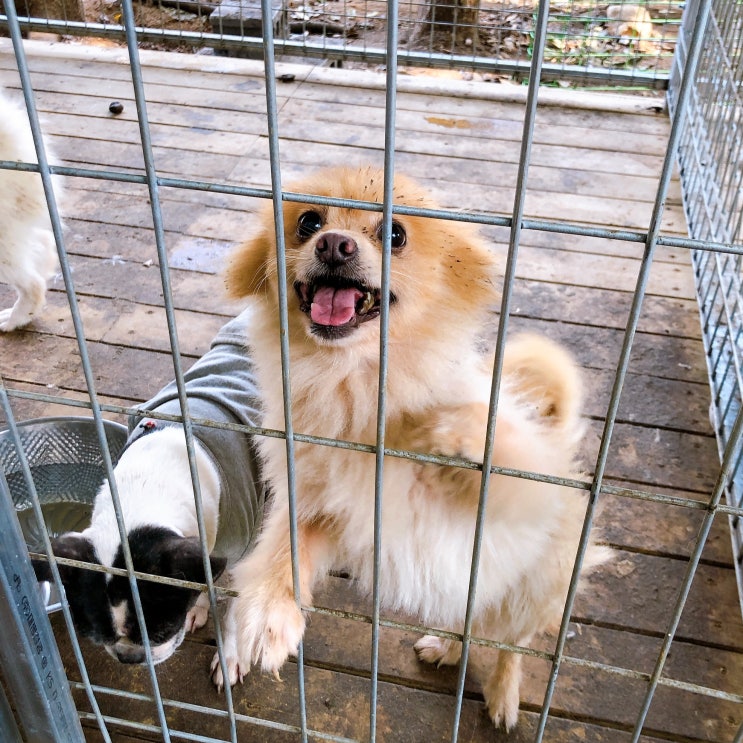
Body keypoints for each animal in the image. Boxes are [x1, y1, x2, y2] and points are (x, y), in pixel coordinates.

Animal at [35, 310, 268, 664]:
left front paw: (231, 657)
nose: (129, 657)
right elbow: (203, 575)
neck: (150, 483)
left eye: (162, 630)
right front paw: (198, 606)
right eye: (95, 636)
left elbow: (233, 607)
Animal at [214, 166, 612, 728]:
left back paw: (503, 694)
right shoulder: (323, 505)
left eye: (395, 234)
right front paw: (269, 612)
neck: (351, 384)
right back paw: (447, 647)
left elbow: (499, 450)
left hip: (535, 588)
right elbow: (286, 548)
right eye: (308, 222)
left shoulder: (515, 497)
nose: (334, 244)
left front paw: (454, 430)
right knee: (470, 621)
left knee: (512, 643)